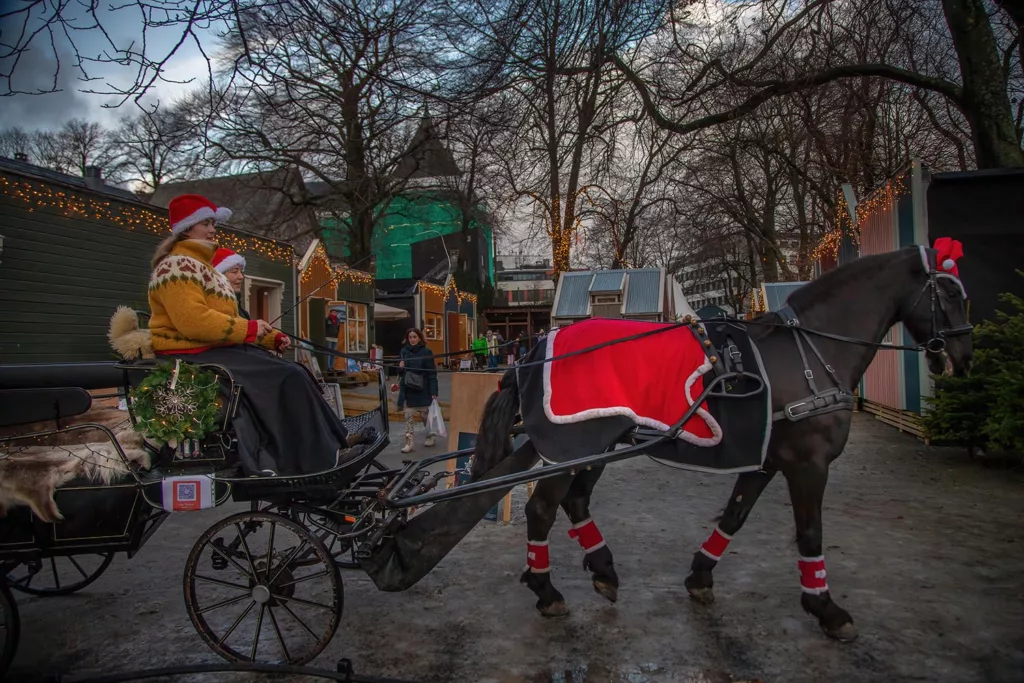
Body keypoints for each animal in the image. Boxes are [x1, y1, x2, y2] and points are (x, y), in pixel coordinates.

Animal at [475, 244, 970, 643]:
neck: (806, 353)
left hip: (597, 444)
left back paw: (603, 570)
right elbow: (810, 532)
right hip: (574, 446)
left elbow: (735, 515)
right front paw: (826, 608)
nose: (962, 359)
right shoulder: (809, 462)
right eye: (950, 294)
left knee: (575, 502)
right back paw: (547, 590)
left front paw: (700, 576)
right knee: (542, 509)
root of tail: (532, 349)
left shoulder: (766, 460)